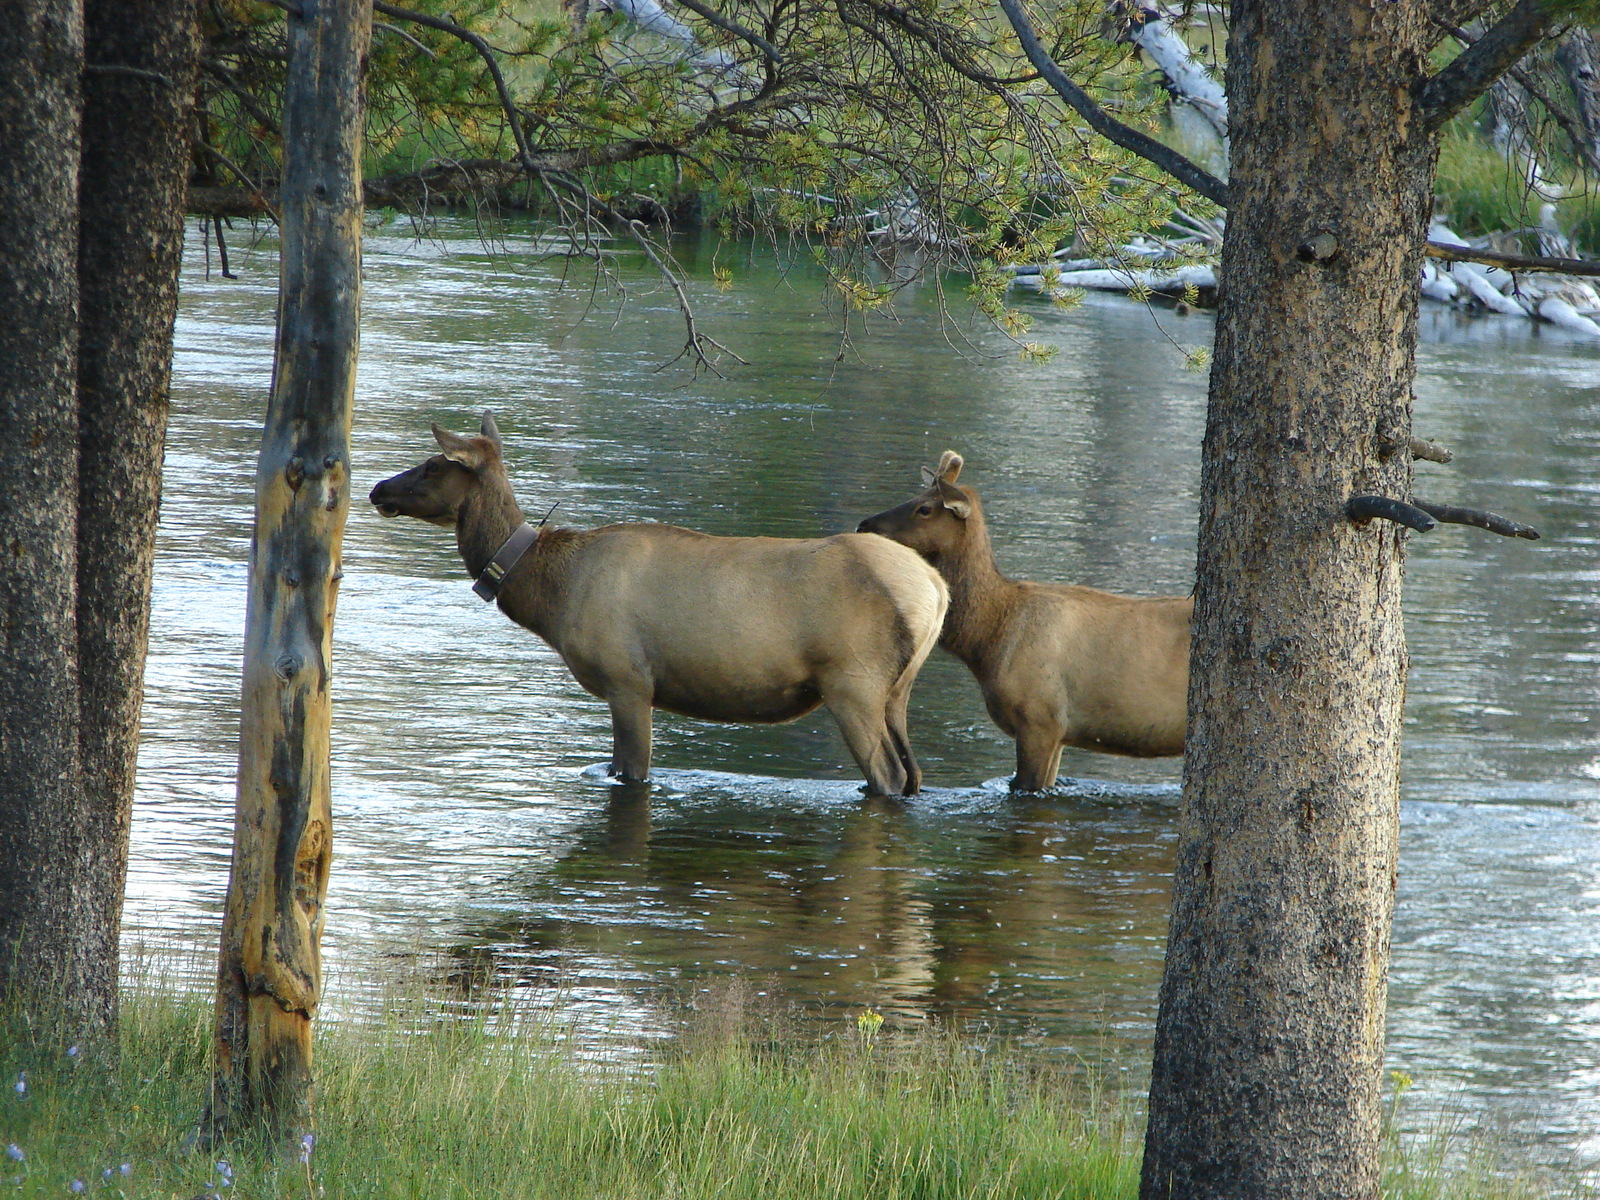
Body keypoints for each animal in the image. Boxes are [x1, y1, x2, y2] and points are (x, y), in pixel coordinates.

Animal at [371, 412, 947, 800]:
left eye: (432, 465)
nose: (379, 488)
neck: (550, 594)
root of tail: (936, 589)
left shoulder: (628, 681)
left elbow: (632, 771)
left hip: (853, 682)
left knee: (889, 776)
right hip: (897, 689)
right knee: (914, 776)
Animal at [864, 451, 1190, 790]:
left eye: (924, 508)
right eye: (913, 498)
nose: (864, 525)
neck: (987, 640)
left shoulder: (1040, 720)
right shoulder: (1060, 735)